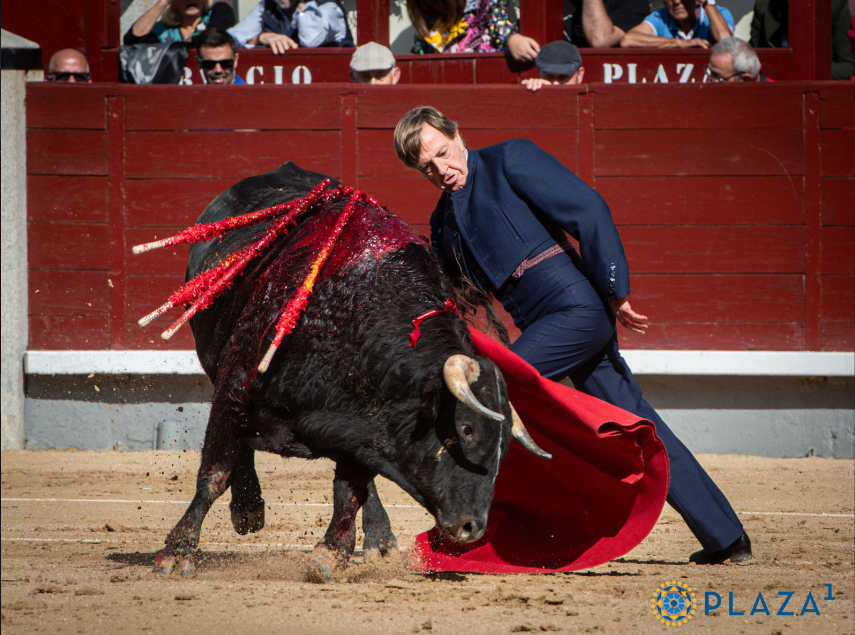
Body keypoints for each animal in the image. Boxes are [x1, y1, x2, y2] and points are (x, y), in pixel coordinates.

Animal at [143, 162, 548, 580]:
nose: (472, 527)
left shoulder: (366, 421)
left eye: (505, 446)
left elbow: (351, 490)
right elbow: (215, 471)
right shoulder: (237, 382)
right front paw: (176, 552)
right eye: (466, 429)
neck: (353, 311)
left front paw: (331, 552)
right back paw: (248, 510)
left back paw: (379, 539)